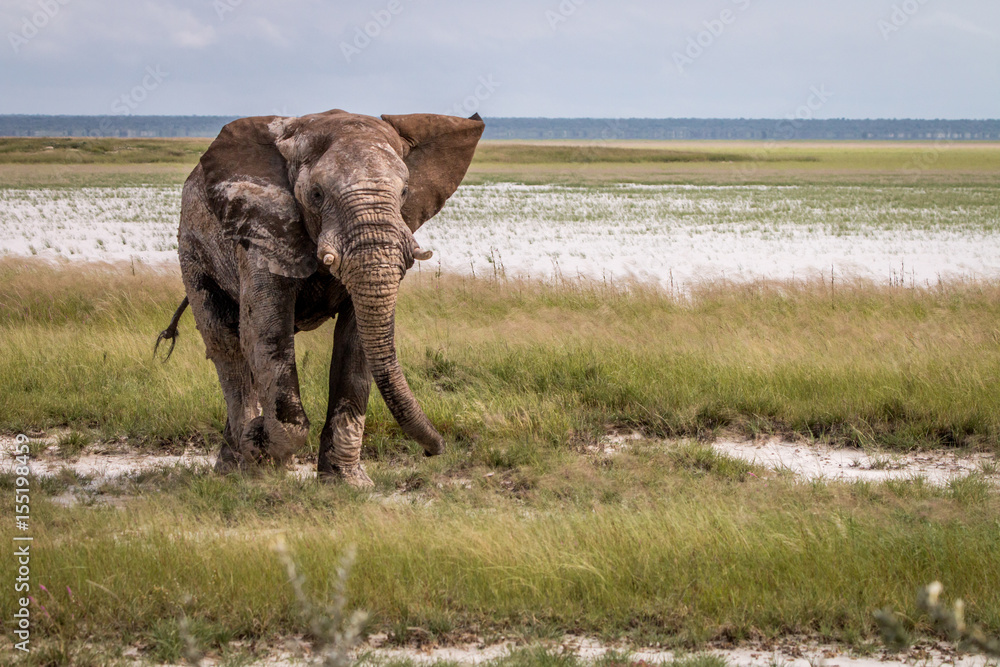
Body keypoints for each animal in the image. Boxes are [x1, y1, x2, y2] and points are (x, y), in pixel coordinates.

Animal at [156, 109, 485, 487]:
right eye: (315, 193)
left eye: (404, 192)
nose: (434, 451)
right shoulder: (260, 233)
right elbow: (264, 334)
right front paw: (260, 443)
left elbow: (355, 346)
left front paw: (348, 483)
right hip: (192, 248)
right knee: (226, 343)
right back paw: (243, 463)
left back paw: (240, 461)